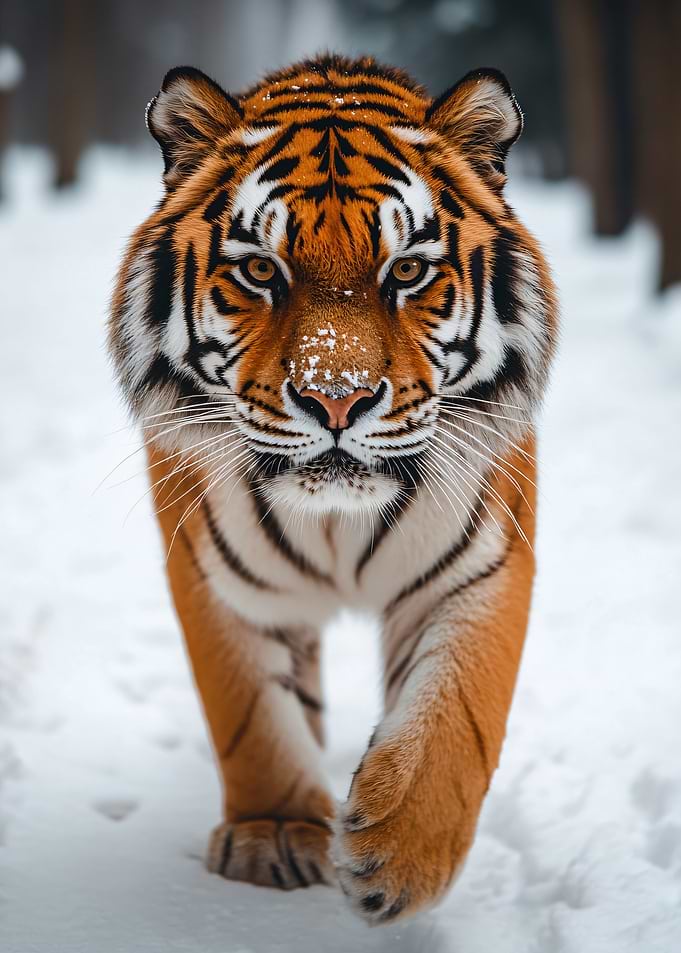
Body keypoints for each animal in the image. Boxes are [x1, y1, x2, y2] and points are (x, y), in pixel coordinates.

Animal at [109, 53, 557, 924]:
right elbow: (251, 712)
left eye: (406, 271)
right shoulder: (218, 576)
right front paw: (276, 832)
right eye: (260, 270)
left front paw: (398, 858)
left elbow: (459, 711)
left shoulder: (477, 564)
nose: (337, 399)